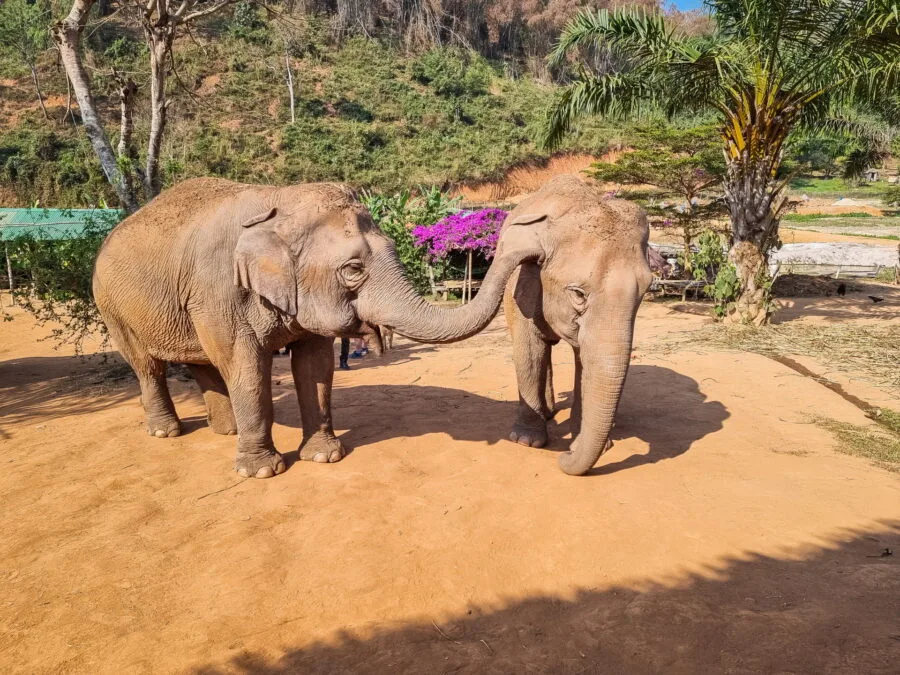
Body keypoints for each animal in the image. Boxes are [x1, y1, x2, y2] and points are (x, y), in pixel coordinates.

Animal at [93, 178, 542, 478]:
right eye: (354, 269)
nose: (527, 244)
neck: (278, 200)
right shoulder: (220, 292)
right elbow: (247, 368)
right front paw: (261, 472)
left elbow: (316, 367)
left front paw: (326, 457)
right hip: (112, 305)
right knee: (147, 366)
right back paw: (166, 433)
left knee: (201, 362)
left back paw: (227, 430)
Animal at [501, 175, 653, 475]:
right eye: (578, 294)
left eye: (645, 292)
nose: (565, 455)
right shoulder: (522, 280)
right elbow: (529, 352)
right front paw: (526, 441)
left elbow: (585, 362)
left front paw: (595, 443)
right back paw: (547, 415)